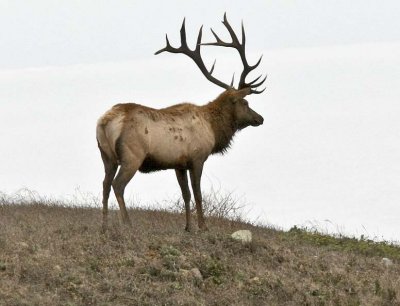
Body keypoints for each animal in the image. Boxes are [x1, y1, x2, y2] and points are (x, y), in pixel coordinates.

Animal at [96, 13, 266, 231]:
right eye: (245, 102)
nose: (260, 118)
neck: (213, 129)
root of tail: (105, 121)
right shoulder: (197, 157)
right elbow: (198, 193)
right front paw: (203, 227)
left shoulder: (179, 164)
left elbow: (185, 195)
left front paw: (188, 227)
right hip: (132, 155)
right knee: (118, 185)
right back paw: (128, 225)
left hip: (106, 156)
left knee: (104, 185)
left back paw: (104, 226)